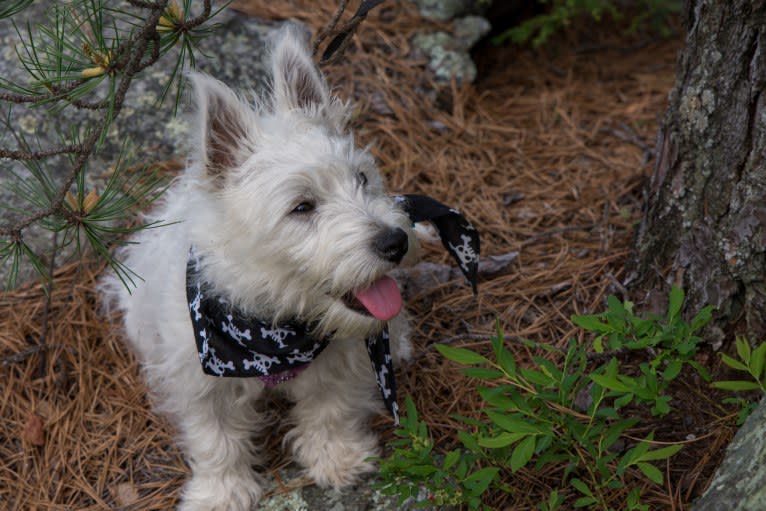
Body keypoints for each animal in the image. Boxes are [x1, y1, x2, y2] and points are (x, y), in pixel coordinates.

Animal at [103, 27, 480, 511]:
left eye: (361, 179)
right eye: (302, 207)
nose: (395, 242)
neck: (278, 326)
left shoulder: (342, 361)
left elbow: (330, 411)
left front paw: (338, 460)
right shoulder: (201, 382)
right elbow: (216, 440)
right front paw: (220, 494)